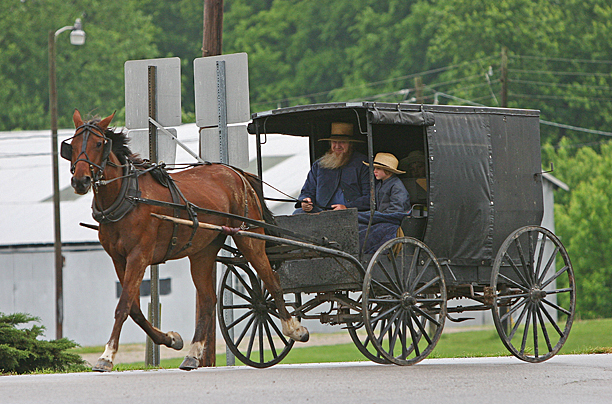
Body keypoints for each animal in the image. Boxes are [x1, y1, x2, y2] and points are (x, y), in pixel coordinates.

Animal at [64, 110, 308, 372]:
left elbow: (123, 306)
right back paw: (193, 354)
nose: (80, 181)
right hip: (203, 251)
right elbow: (135, 309)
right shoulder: (119, 259)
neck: (127, 195)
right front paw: (170, 339)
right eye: (72, 145)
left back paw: (294, 328)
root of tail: (238, 173)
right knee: (209, 300)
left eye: (99, 143)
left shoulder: (139, 256)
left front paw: (107, 356)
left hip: (249, 238)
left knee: (272, 282)